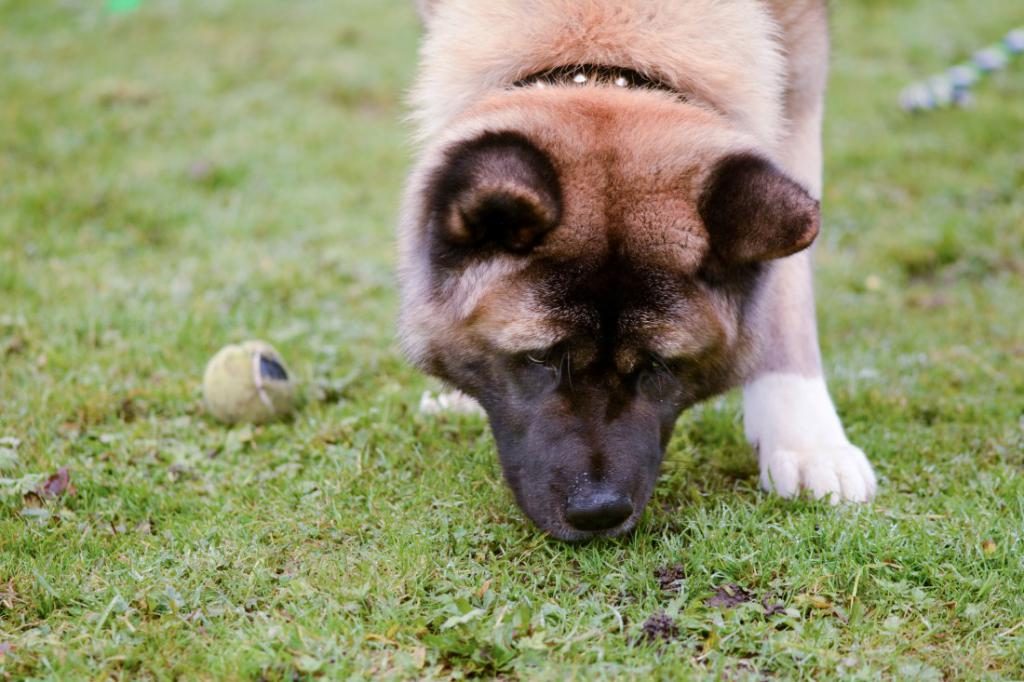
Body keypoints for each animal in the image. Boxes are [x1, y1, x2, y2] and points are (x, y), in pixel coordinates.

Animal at [395, 1, 876, 540]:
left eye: (660, 366)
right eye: (539, 358)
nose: (598, 512)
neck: (598, 29)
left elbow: (786, 294)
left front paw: (807, 439)